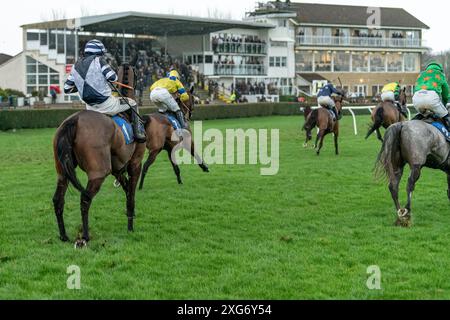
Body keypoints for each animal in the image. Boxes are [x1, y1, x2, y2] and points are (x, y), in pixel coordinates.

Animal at [52, 63, 146, 246]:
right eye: (138, 74)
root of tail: (74, 120)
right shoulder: (135, 163)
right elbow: (131, 193)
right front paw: (130, 225)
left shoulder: (117, 168)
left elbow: (126, 189)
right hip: (98, 173)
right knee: (85, 198)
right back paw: (85, 236)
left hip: (62, 172)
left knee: (58, 199)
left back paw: (64, 236)